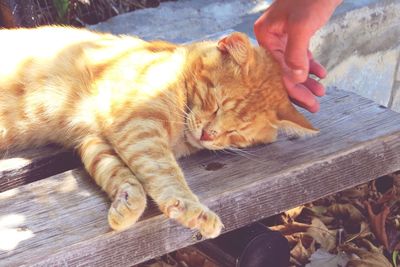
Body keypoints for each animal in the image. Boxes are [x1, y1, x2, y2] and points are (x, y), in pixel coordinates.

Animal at [0, 26, 318, 239]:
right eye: (216, 105)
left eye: (236, 133)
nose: (208, 136)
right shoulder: (139, 124)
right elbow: (165, 173)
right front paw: (192, 211)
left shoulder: (94, 138)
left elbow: (120, 174)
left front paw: (126, 205)